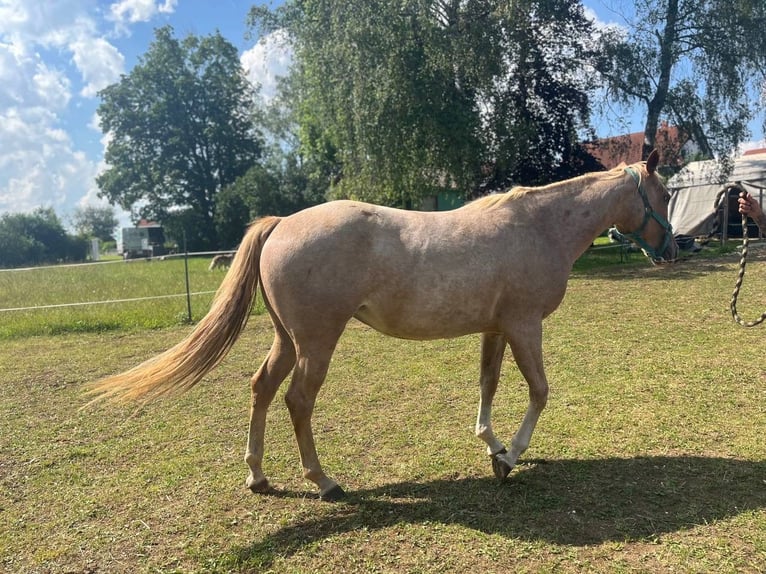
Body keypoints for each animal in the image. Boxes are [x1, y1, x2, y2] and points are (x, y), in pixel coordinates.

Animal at [88, 151, 680, 502]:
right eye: (666, 194)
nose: (673, 250)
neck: (538, 227)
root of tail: (281, 224)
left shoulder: (496, 328)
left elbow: (488, 385)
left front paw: (490, 444)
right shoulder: (524, 325)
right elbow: (539, 391)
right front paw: (508, 459)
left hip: (287, 340)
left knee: (261, 389)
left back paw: (258, 475)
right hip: (316, 343)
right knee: (297, 401)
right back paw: (324, 481)